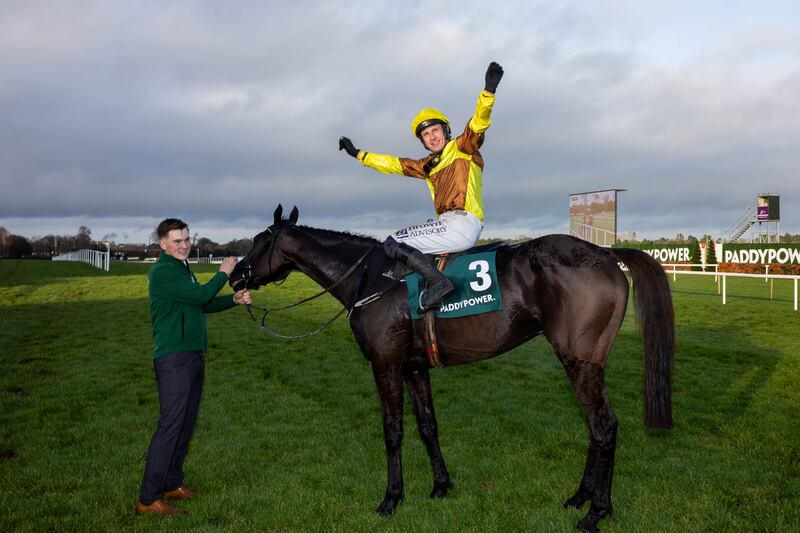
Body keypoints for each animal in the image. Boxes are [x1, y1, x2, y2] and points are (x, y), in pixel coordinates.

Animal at [231, 205, 676, 532]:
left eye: (258, 242)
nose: (234, 276)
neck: (369, 279)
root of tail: (606, 252)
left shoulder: (386, 364)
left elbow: (393, 432)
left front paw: (391, 499)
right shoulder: (414, 367)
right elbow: (428, 426)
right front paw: (440, 486)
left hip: (579, 359)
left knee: (603, 425)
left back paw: (596, 511)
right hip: (585, 361)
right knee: (595, 425)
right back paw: (580, 497)